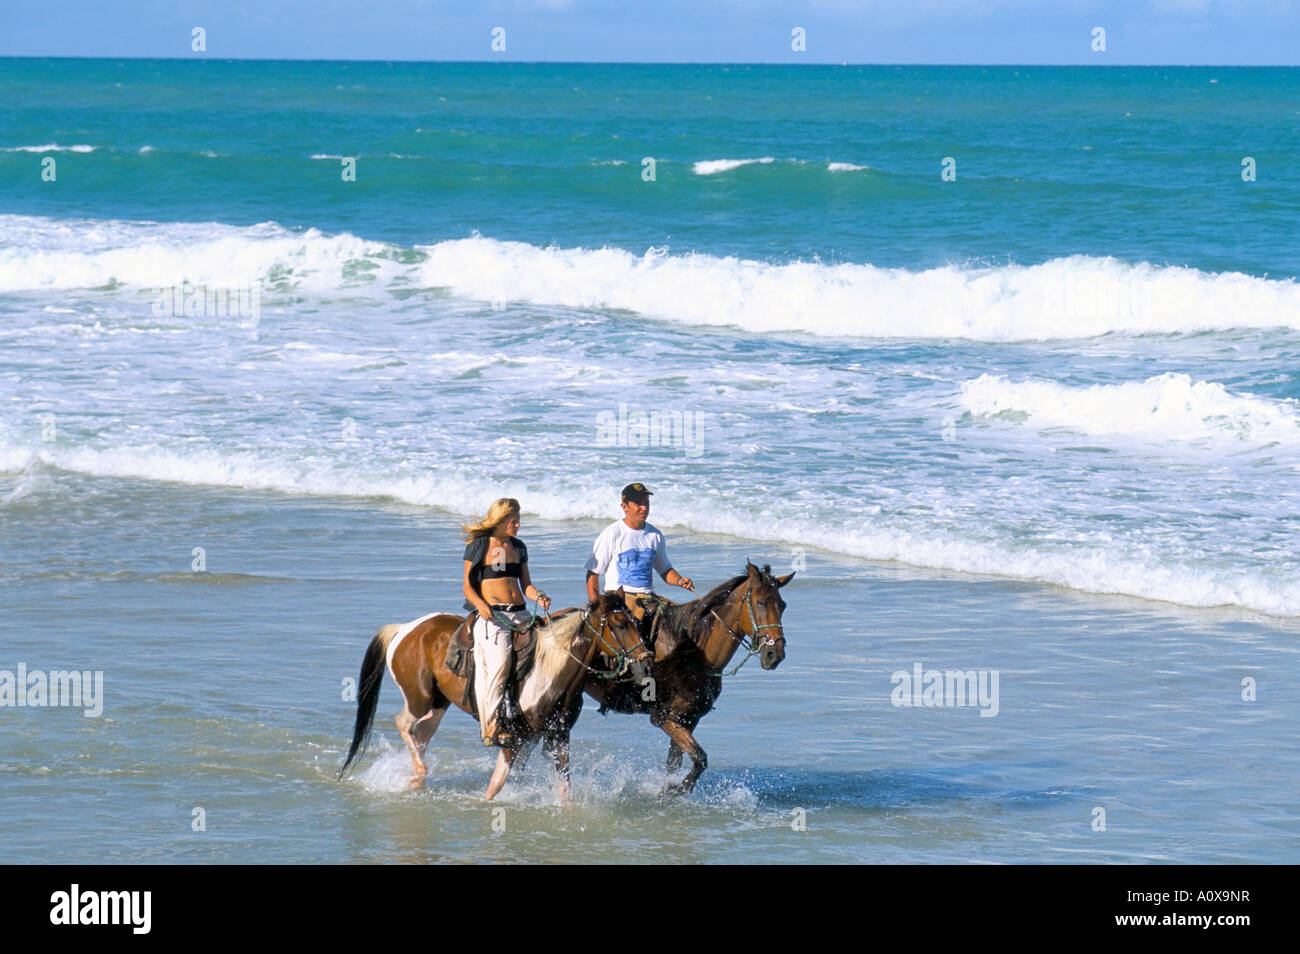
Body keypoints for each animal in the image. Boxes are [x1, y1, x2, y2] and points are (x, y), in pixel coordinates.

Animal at [338, 595, 647, 805]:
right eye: (620, 624)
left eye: (634, 620)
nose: (644, 660)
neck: (552, 669)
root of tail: (404, 629)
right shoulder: (516, 736)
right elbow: (496, 785)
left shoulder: (557, 736)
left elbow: (565, 789)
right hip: (419, 698)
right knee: (404, 723)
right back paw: (419, 771)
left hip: (439, 703)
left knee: (422, 733)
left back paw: (417, 778)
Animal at [582, 564, 790, 795]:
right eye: (760, 603)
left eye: (782, 605)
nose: (774, 654)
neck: (694, 654)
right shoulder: (664, 718)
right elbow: (700, 758)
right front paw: (676, 789)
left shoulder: (689, 719)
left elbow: (675, 763)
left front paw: (669, 790)